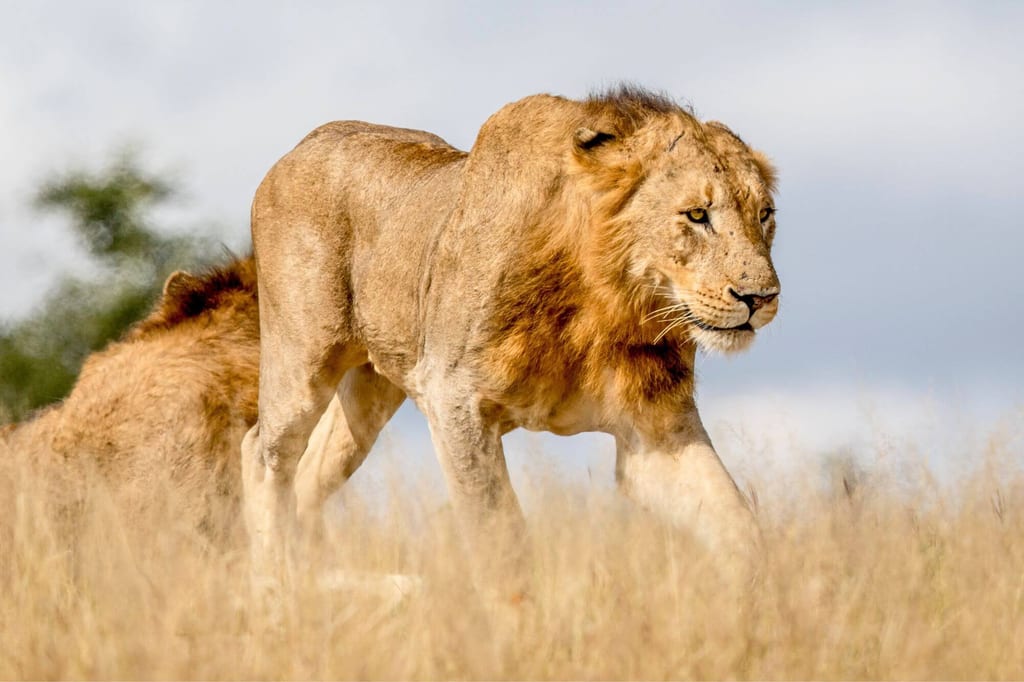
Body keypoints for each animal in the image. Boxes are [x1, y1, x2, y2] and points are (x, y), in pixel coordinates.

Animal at [243, 85, 781, 580]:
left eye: (764, 215)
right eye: (697, 214)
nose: (761, 298)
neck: (605, 301)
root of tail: (306, 142)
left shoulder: (656, 431)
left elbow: (738, 522)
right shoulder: (453, 397)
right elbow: (500, 538)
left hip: (371, 390)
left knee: (308, 475)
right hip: (303, 361)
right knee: (265, 453)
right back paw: (273, 584)